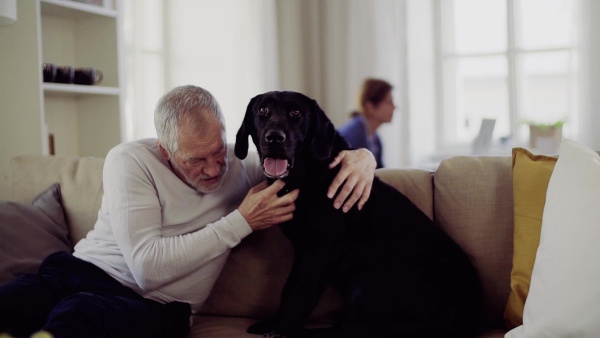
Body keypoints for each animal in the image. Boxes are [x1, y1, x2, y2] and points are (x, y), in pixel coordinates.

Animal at [236, 91, 482, 336]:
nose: (274, 138)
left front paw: (282, 329)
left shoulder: (318, 253)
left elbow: (299, 295)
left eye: (296, 112)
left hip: (365, 281)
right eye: (263, 110)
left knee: (347, 329)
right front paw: (272, 324)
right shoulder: (302, 252)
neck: (308, 174)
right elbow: (288, 289)